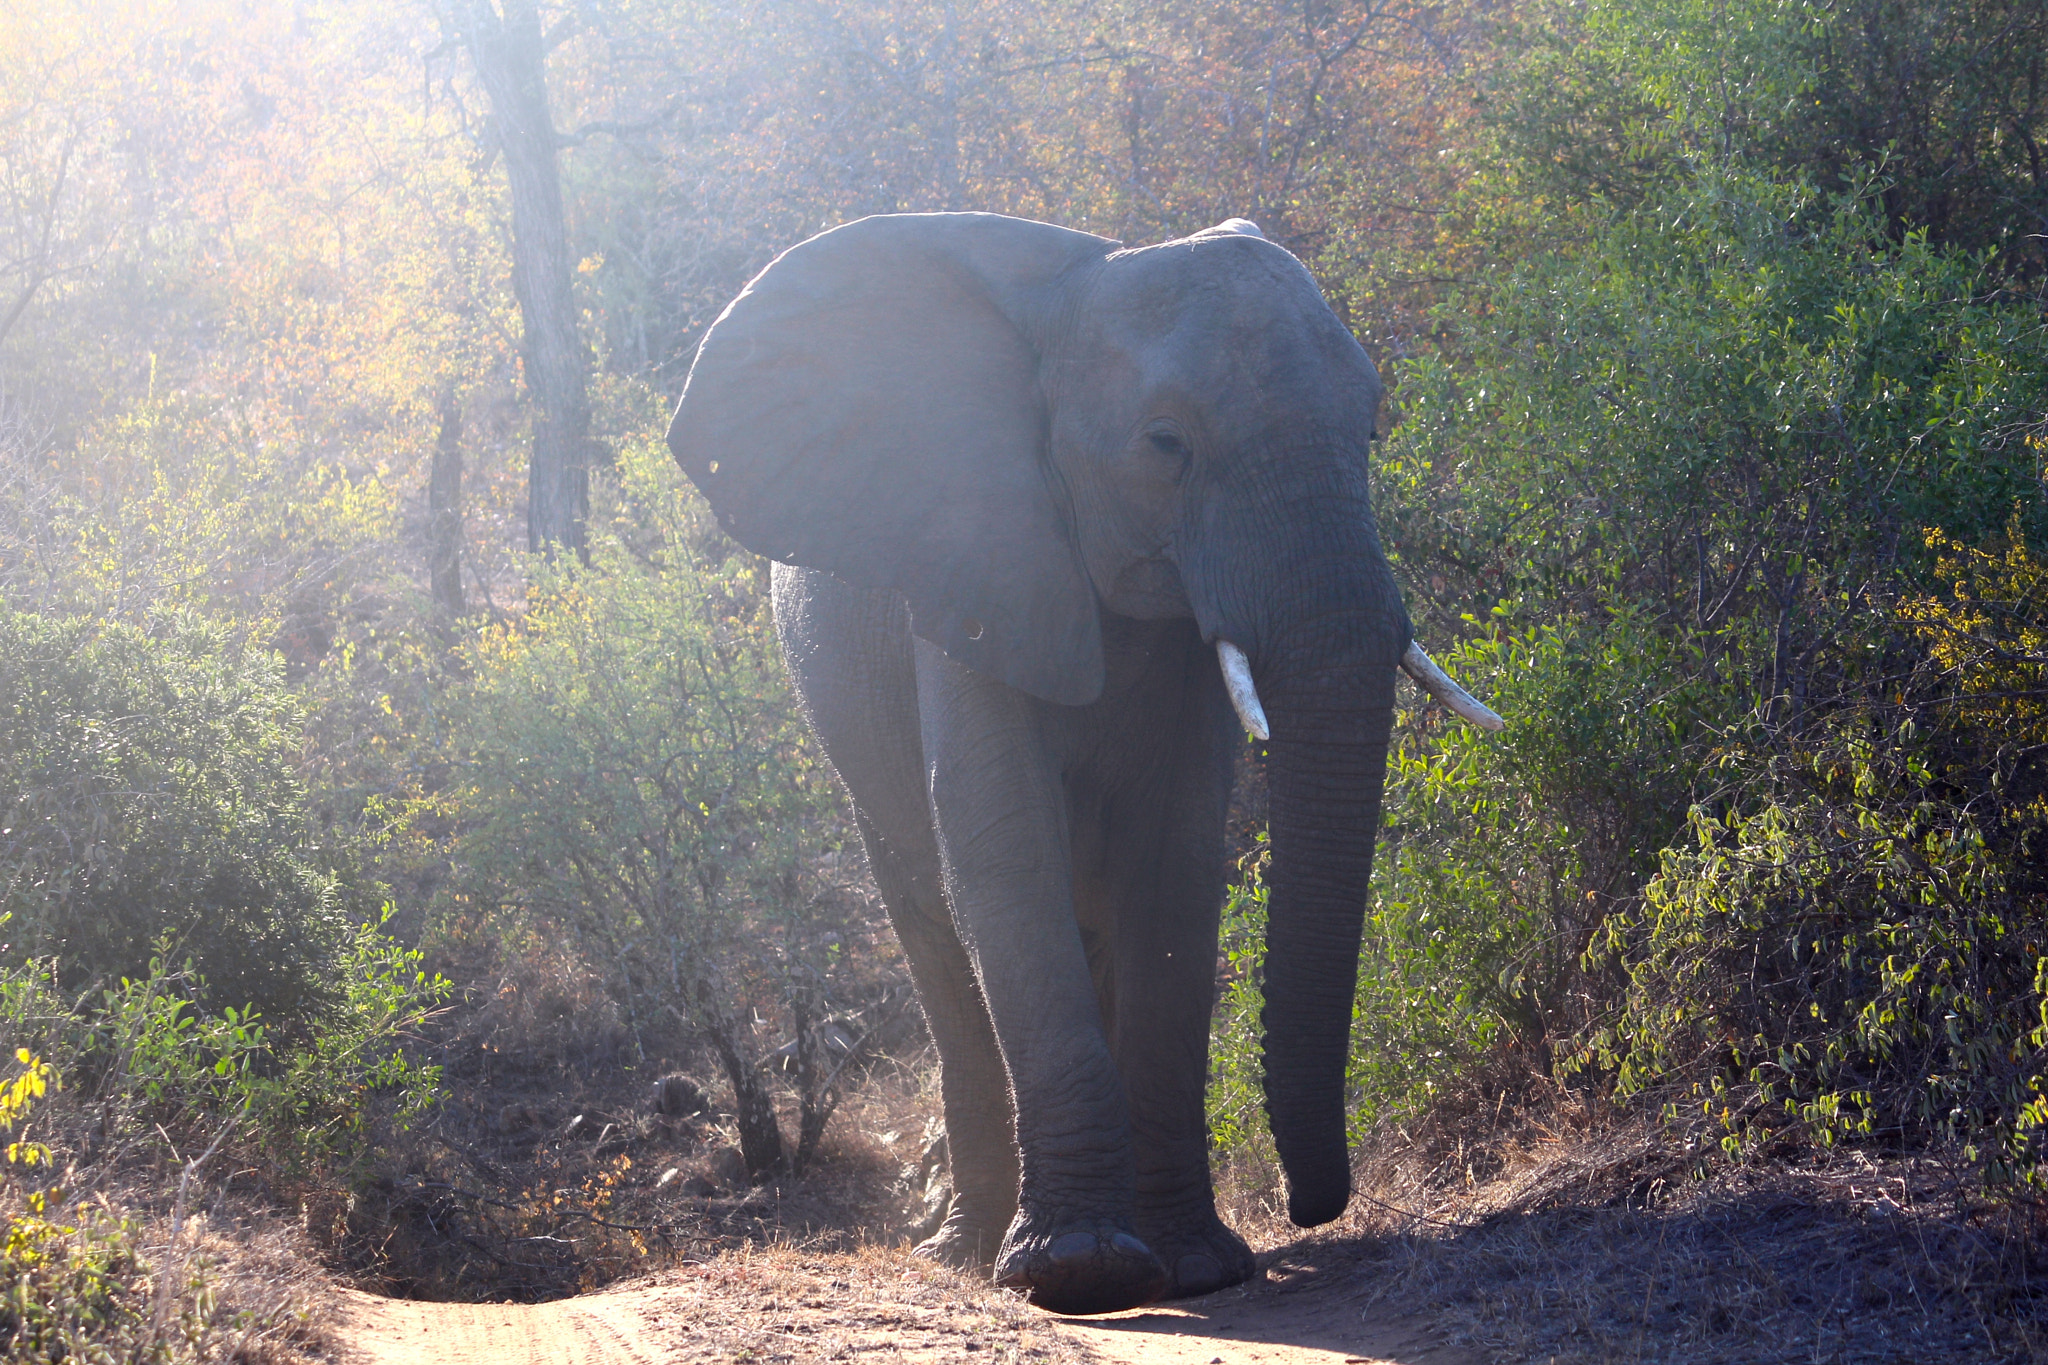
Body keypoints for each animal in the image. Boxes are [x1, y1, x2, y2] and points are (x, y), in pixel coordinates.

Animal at [665, 211, 1500, 1316]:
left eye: (1370, 431)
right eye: (1166, 445)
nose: (1311, 1206)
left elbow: (1175, 862)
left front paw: (1195, 1266)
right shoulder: (971, 558)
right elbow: (1005, 850)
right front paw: (1083, 1273)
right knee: (935, 936)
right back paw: (967, 1251)